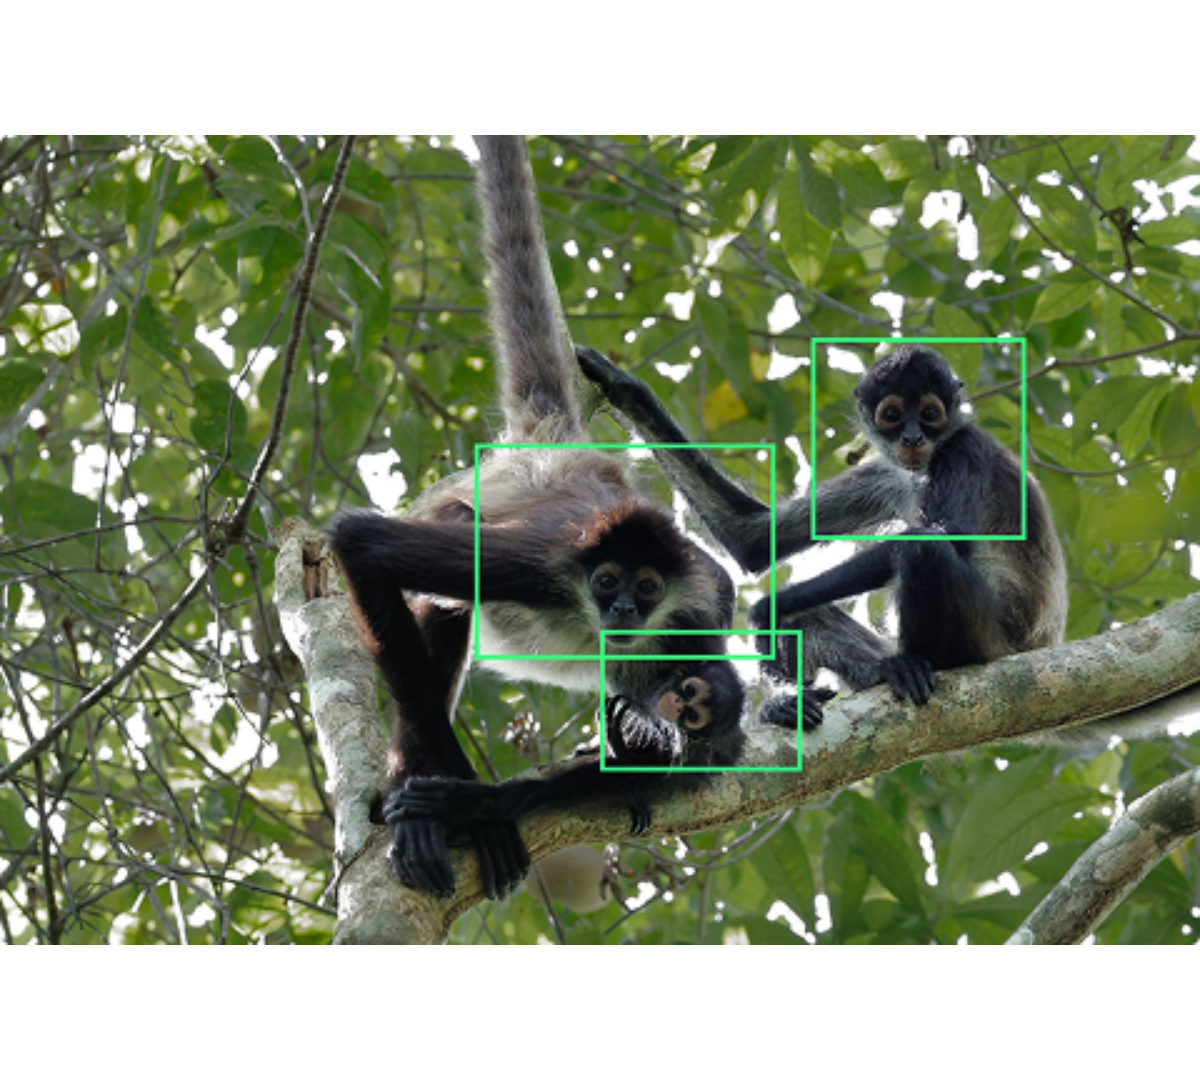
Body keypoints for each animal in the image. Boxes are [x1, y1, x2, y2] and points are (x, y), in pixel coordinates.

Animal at [328, 135, 748, 900]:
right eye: (608, 582)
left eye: (646, 591)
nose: (623, 610)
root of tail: (561, 452)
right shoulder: (548, 569)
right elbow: (363, 543)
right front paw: (457, 803)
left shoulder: (695, 629)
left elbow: (681, 767)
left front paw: (483, 803)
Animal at [573, 342, 1069, 717]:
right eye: (893, 415)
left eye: (930, 413)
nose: (912, 437)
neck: (926, 463)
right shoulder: (889, 473)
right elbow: (753, 538)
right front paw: (622, 386)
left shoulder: (966, 448)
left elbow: (948, 536)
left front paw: (766, 609)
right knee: (809, 616)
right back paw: (875, 676)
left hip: (988, 638)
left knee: (924, 546)